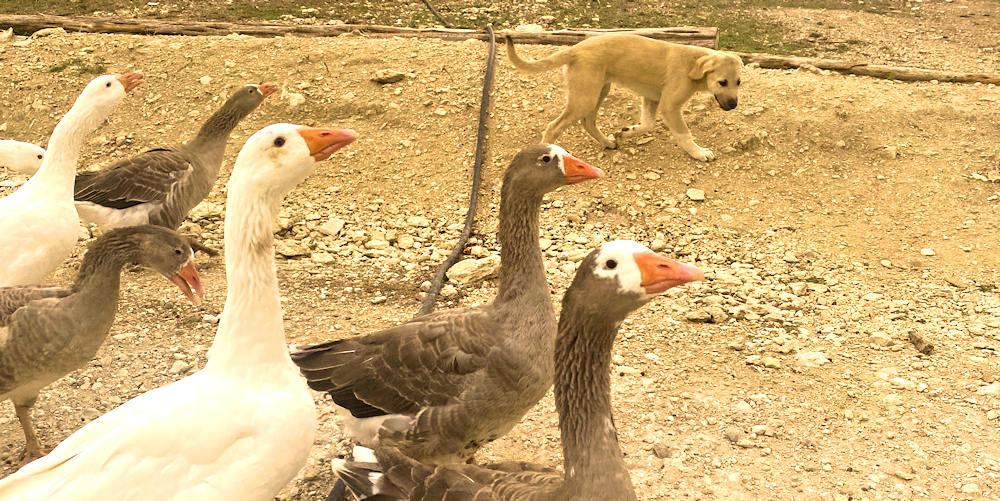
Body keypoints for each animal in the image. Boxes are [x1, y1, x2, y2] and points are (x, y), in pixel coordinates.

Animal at [508, 34, 744, 161]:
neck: (692, 65)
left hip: (598, 91)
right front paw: (698, 152)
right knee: (553, 127)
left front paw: (627, 132)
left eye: (739, 82)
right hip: (586, 97)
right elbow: (684, 134)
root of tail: (574, 49)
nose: (733, 105)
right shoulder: (669, 107)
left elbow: (647, 124)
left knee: (588, 121)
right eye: (722, 82)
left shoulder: (652, 99)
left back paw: (607, 142)